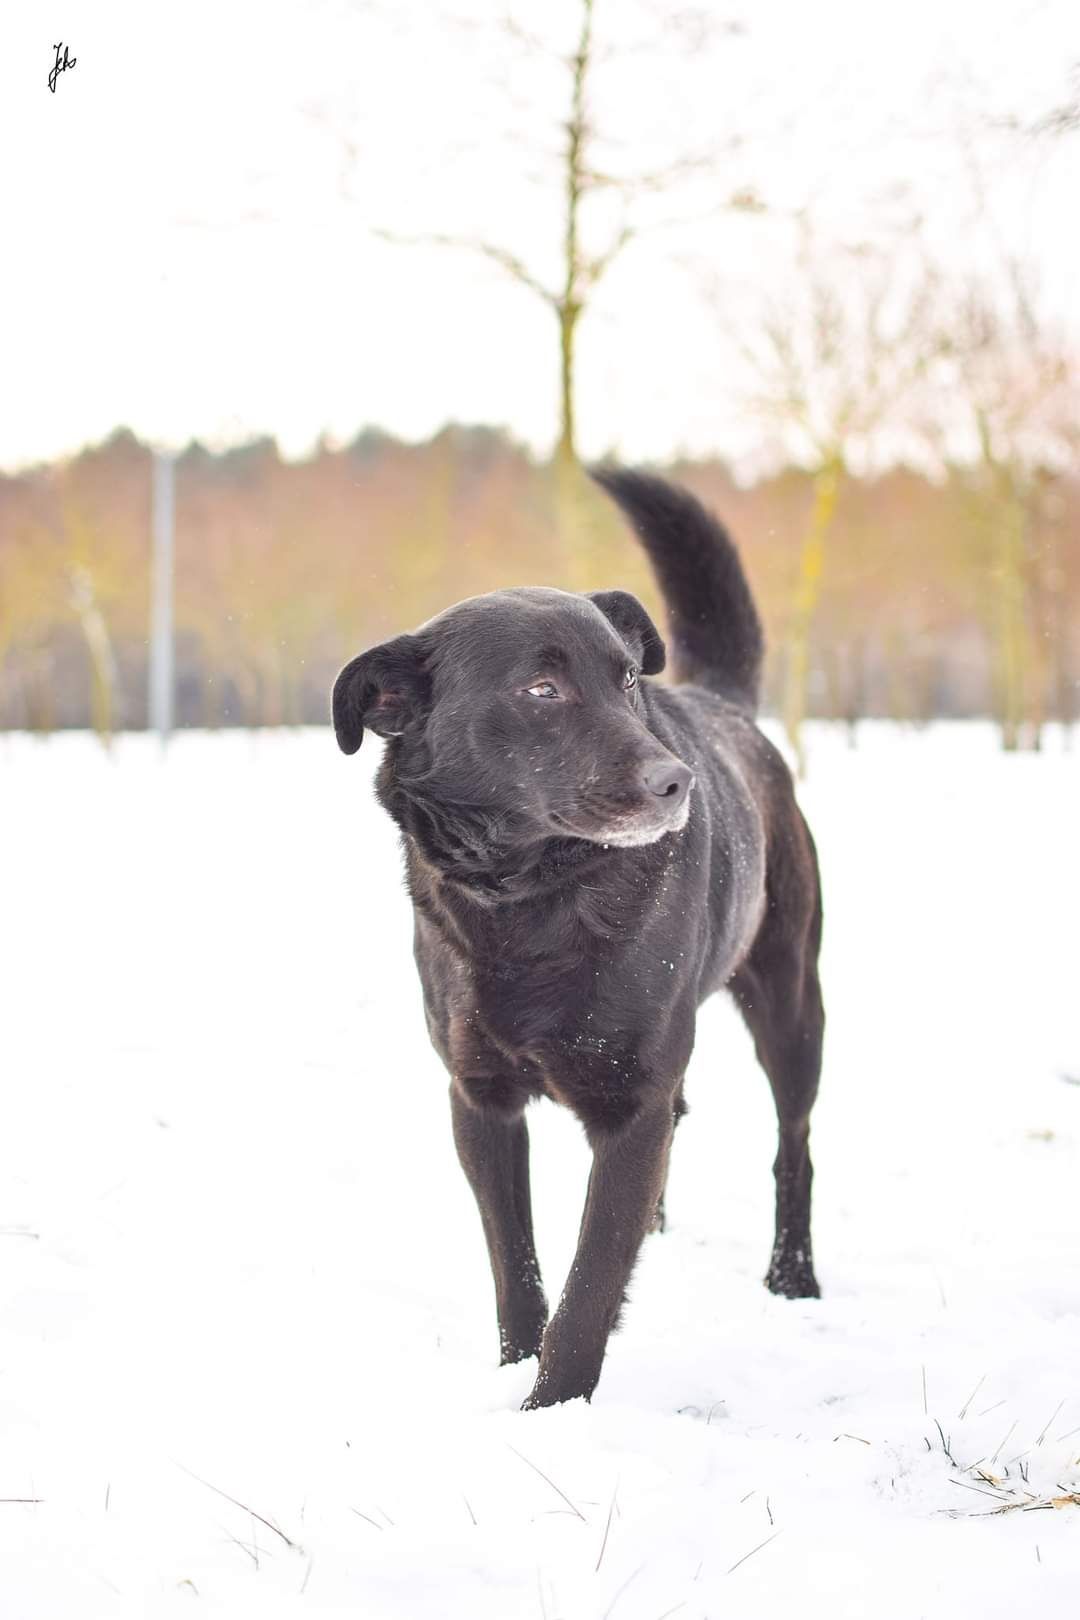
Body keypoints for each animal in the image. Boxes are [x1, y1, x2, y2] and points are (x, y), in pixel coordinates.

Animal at [333, 469, 822, 1406]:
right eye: (540, 690)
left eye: (627, 679)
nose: (677, 783)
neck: (532, 901)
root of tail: (721, 702)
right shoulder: (480, 1102)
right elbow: (516, 1264)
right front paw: (517, 1372)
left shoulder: (632, 1108)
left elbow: (591, 1279)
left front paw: (551, 1405)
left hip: (791, 1005)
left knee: (794, 1146)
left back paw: (794, 1277)